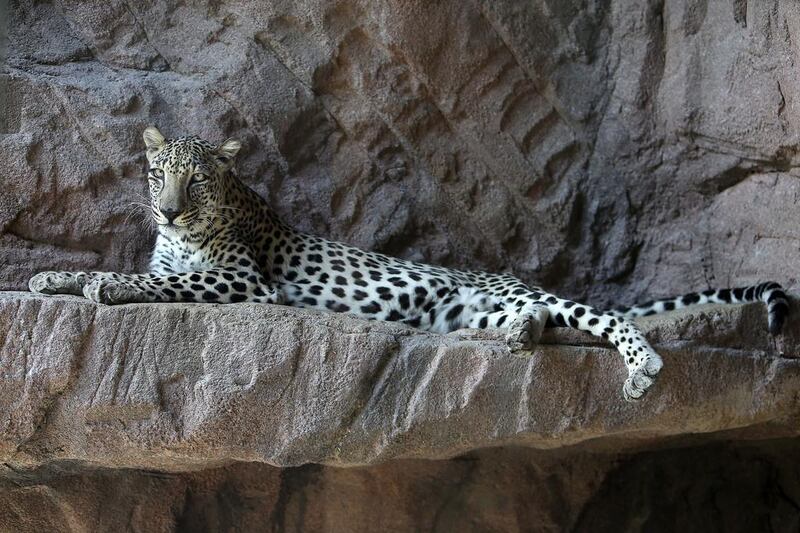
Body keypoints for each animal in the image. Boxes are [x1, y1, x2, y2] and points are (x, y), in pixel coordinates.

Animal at [26, 128, 792, 400]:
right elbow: (137, 269)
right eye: (158, 173)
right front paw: (50, 276)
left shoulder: (242, 278)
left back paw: (641, 367)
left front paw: (102, 283)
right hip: (468, 310)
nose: (167, 212)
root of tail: (503, 283)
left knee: (599, 317)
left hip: (520, 295)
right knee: (532, 318)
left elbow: (154, 279)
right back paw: (522, 335)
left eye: (198, 180)